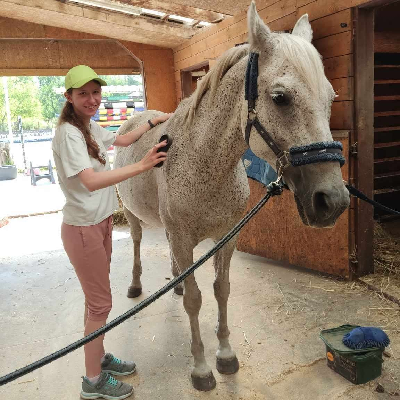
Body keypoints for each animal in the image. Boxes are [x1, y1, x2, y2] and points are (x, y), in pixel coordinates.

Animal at [114, 1, 350, 391]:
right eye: (280, 98)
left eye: (330, 98)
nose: (333, 201)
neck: (204, 161)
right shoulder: (183, 238)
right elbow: (195, 300)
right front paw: (201, 368)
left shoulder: (226, 238)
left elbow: (220, 289)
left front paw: (225, 355)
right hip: (133, 216)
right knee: (135, 241)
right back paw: (135, 285)